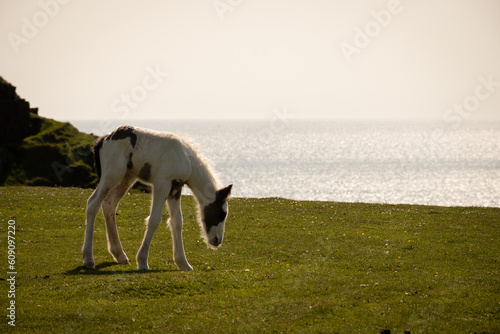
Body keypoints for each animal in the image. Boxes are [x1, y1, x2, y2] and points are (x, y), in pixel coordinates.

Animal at [82, 126, 232, 272]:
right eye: (222, 213)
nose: (217, 240)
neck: (185, 158)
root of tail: (105, 138)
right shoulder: (162, 184)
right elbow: (154, 220)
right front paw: (142, 261)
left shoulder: (175, 189)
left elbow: (177, 222)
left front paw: (183, 263)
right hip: (111, 175)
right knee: (92, 204)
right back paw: (88, 259)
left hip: (126, 177)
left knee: (109, 205)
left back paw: (120, 255)